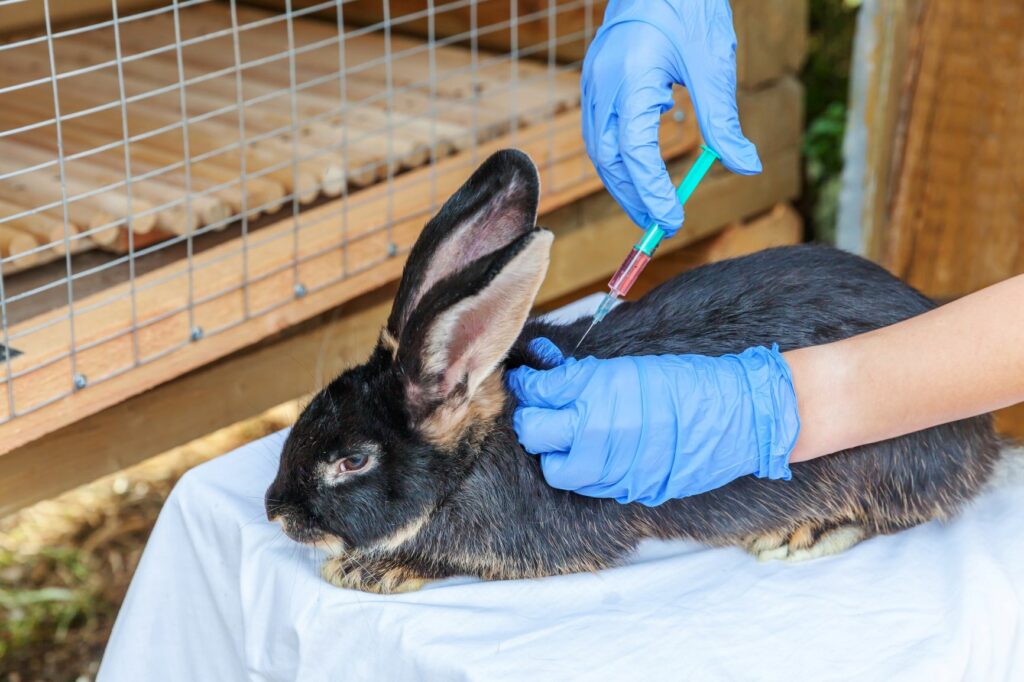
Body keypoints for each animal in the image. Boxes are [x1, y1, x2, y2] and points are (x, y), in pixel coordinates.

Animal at [264, 147, 999, 589]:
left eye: (353, 461)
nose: (274, 513)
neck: (478, 450)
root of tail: (986, 437)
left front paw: (368, 571)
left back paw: (800, 534)